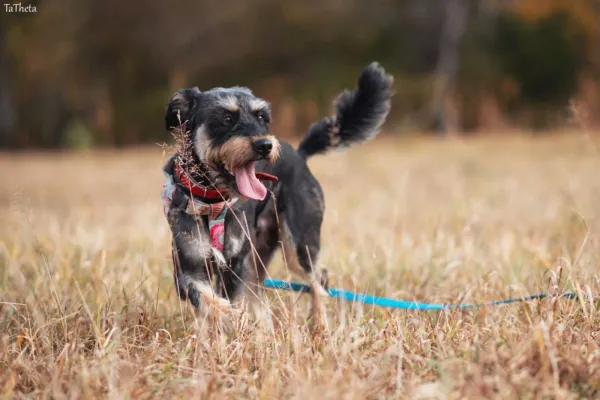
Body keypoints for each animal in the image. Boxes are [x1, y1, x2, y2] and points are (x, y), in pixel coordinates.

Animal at [161, 62, 394, 332]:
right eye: (226, 118)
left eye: (262, 117)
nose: (265, 145)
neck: (213, 202)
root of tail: (300, 154)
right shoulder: (189, 269)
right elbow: (210, 301)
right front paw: (226, 325)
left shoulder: (236, 264)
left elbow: (227, 301)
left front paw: (235, 325)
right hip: (260, 255)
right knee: (262, 291)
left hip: (298, 246)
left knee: (317, 280)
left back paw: (319, 325)